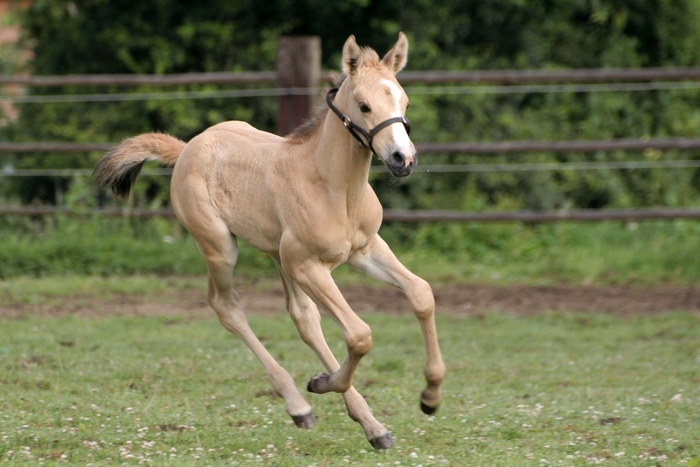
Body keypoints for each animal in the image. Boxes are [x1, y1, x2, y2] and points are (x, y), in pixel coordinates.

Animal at [95, 33, 446, 450]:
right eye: (364, 105)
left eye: (404, 102)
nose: (402, 159)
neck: (334, 187)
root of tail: (186, 149)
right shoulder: (307, 265)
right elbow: (359, 335)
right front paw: (322, 383)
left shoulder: (365, 250)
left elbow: (421, 293)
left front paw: (430, 398)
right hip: (222, 247)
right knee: (227, 307)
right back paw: (300, 405)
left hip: (279, 256)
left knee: (303, 318)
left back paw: (372, 426)